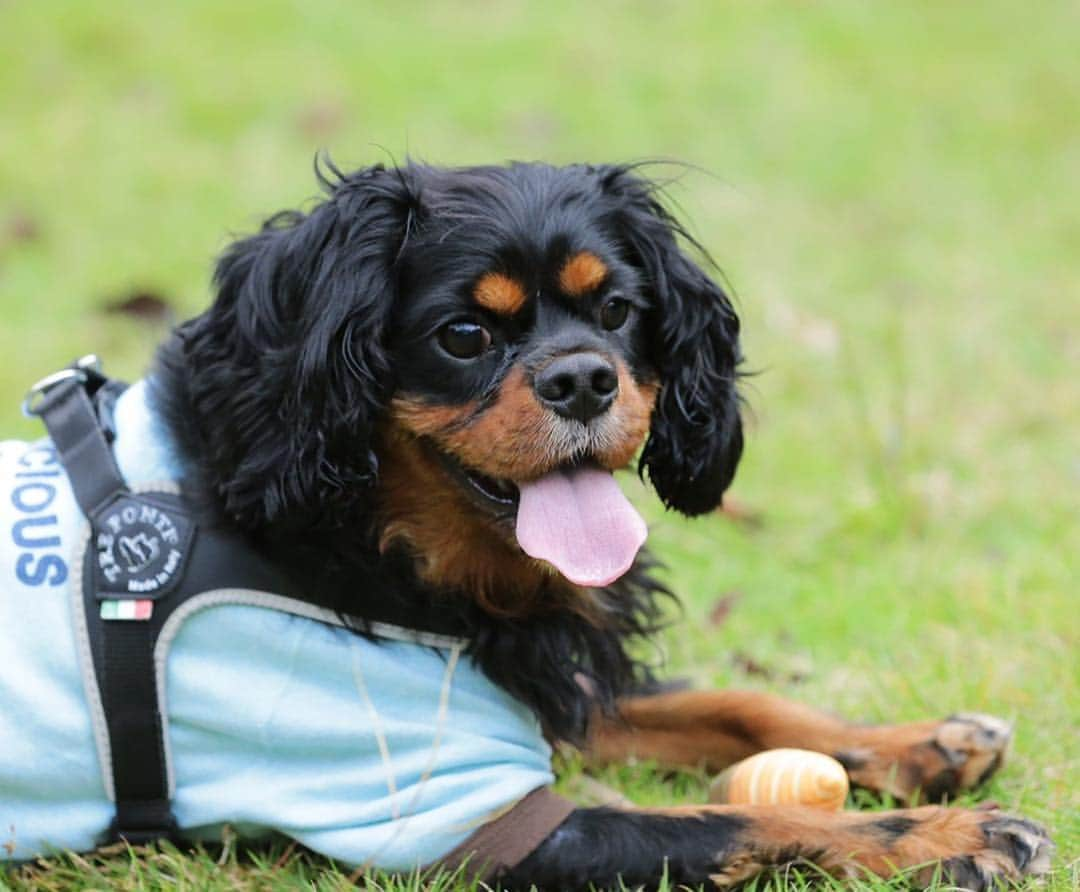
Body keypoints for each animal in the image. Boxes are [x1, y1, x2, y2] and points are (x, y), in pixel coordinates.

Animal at [143, 157, 1045, 881]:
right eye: (463, 335)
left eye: (615, 311)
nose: (583, 379)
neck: (376, 544)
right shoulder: (458, 811)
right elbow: (735, 818)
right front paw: (945, 837)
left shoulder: (549, 695)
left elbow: (733, 706)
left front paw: (925, 743)